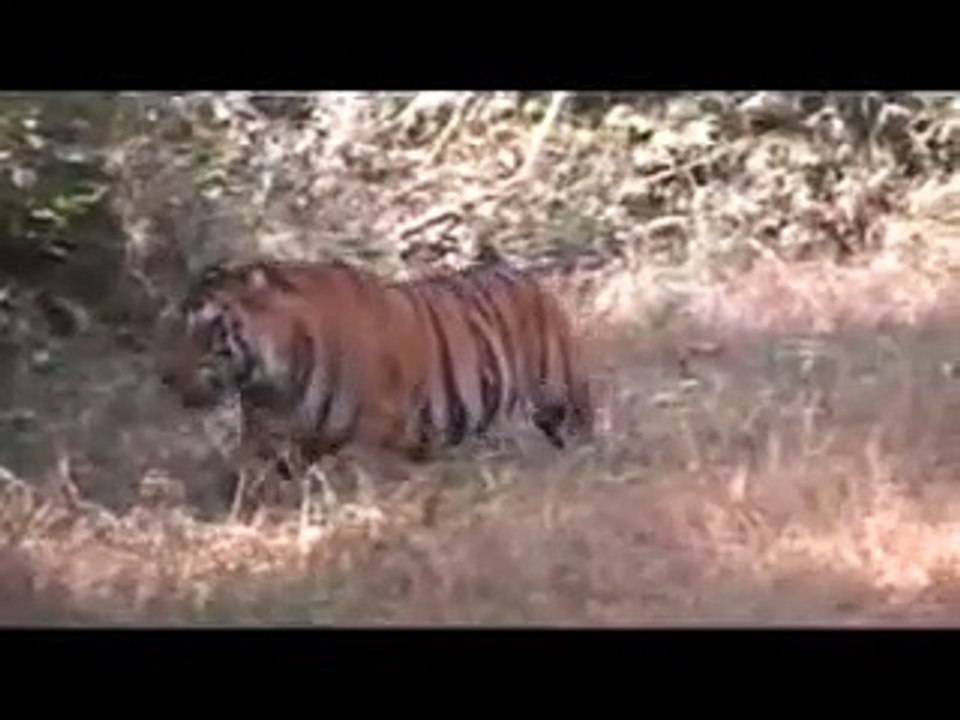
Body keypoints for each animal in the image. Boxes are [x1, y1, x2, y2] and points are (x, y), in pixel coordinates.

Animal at [158, 255, 595, 524]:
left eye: (205, 328)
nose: (166, 376)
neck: (272, 378)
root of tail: (530, 278)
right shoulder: (269, 437)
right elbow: (248, 481)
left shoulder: (370, 436)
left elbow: (363, 485)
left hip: (560, 400)